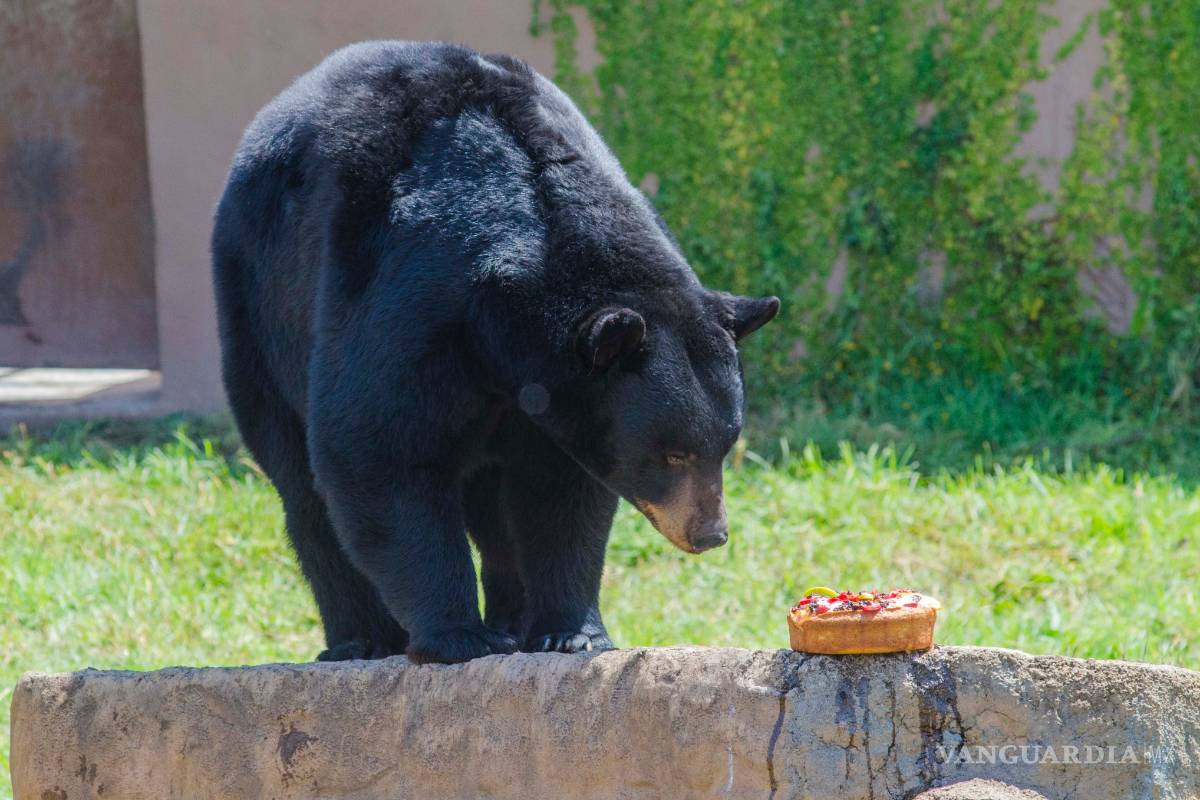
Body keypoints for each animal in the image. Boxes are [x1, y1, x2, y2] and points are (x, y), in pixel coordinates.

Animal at [211, 41, 779, 664]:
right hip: (260, 308)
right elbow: (378, 449)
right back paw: (362, 637)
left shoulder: (563, 396)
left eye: (727, 445)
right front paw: (458, 636)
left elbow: (561, 494)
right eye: (673, 453)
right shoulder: (411, 301)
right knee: (303, 485)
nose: (710, 534)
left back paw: (510, 621)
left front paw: (570, 632)